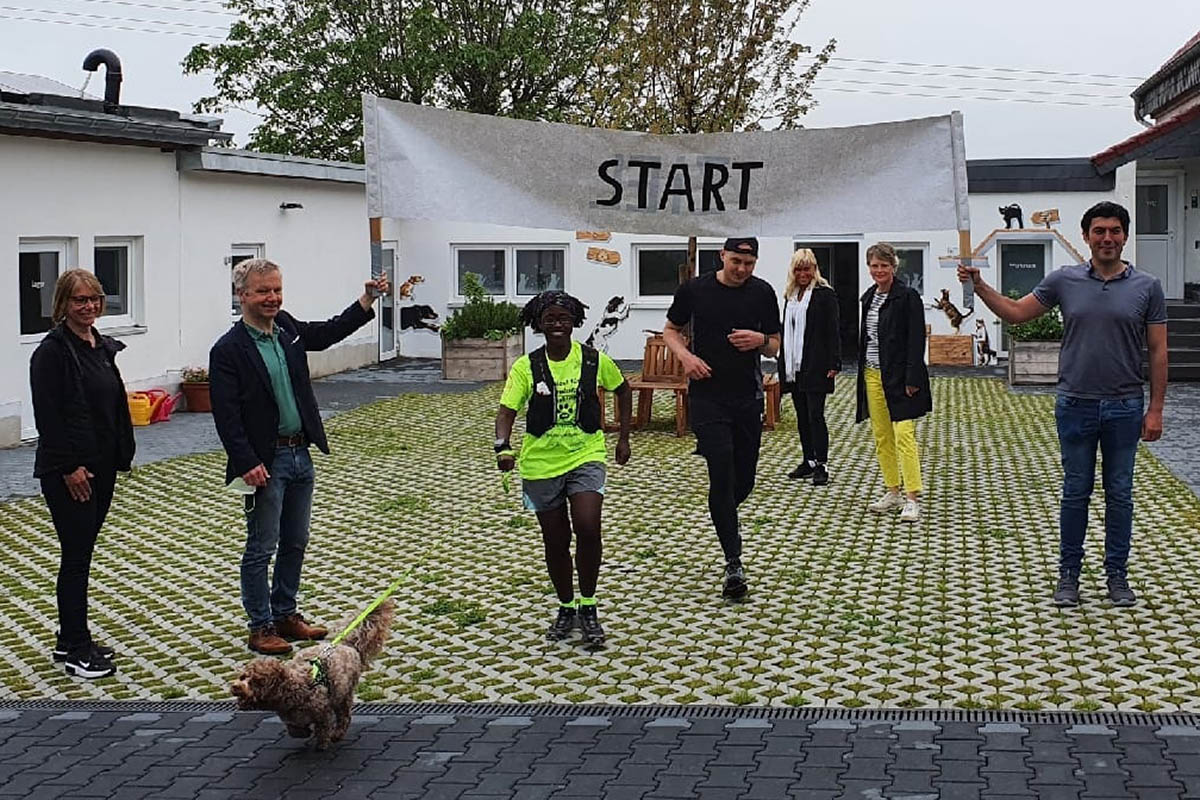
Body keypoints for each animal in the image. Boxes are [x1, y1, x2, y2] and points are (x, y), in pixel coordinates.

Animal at [234, 597, 398, 748]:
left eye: (255, 682)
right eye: (243, 677)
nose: (236, 686)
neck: (293, 687)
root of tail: (346, 644)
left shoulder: (322, 711)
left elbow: (323, 729)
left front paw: (322, 743)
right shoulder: (292, 717)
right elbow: (295, 729)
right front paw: (304, 732)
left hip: (343, 694)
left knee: (344, 716)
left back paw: (337, 734)